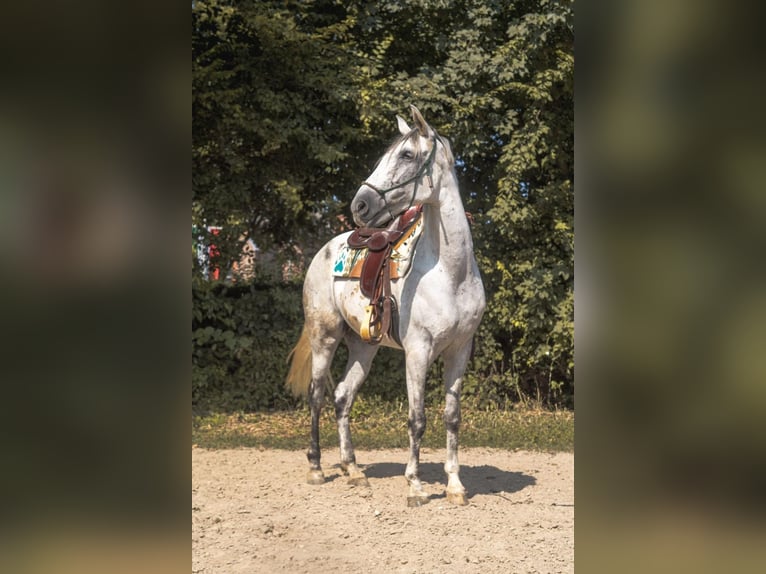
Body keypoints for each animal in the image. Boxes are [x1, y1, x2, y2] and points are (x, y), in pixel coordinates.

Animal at [288, 106, 486, 506]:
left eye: (407, 155)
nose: (359, 205)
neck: (451, 273)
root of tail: (323, 251)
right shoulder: (418, 351)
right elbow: (417, 419)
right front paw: (415, 487)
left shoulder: (460, 350)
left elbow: (452, 416)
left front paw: (455, 486)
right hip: (324, 338)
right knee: (317, 396)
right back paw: (316, 468)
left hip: (364, 346)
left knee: (342, 396)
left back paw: (353, 470)